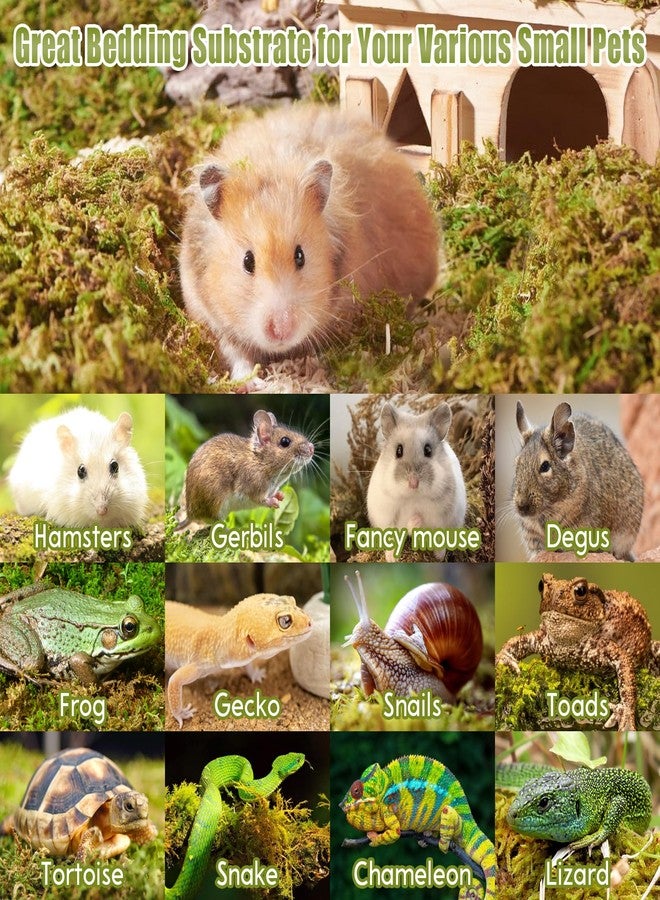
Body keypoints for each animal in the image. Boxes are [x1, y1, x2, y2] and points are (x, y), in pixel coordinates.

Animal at [178, 409, 314, 525]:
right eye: (285, 442)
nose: (312, 448)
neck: (260, 462)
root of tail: (190, 515)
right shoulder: (252, 488)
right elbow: (262, 500)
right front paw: (274, 502)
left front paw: (280, 496)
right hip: (216, 501)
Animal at [180, 105, 439, 381]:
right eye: (247, 261)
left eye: (300, 256)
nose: (281, 330)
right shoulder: (212, 318)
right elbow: (237, 355)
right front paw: (249, 382)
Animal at [367, 402, 467, 540]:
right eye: (398, 451)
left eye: (428, 450)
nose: (413, 483)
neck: (412, 498)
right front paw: (415, 520)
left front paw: (417, 520)